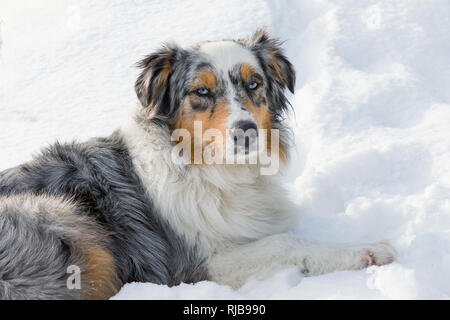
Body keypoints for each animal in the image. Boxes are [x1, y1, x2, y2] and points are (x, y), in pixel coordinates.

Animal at [0, 30, 394, 300]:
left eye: (255, 83)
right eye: (201, 92)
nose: (246, 131)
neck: (211, 170)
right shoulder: (196, 265)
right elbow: (287, 242)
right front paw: (366, 250)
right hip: (61, 219)